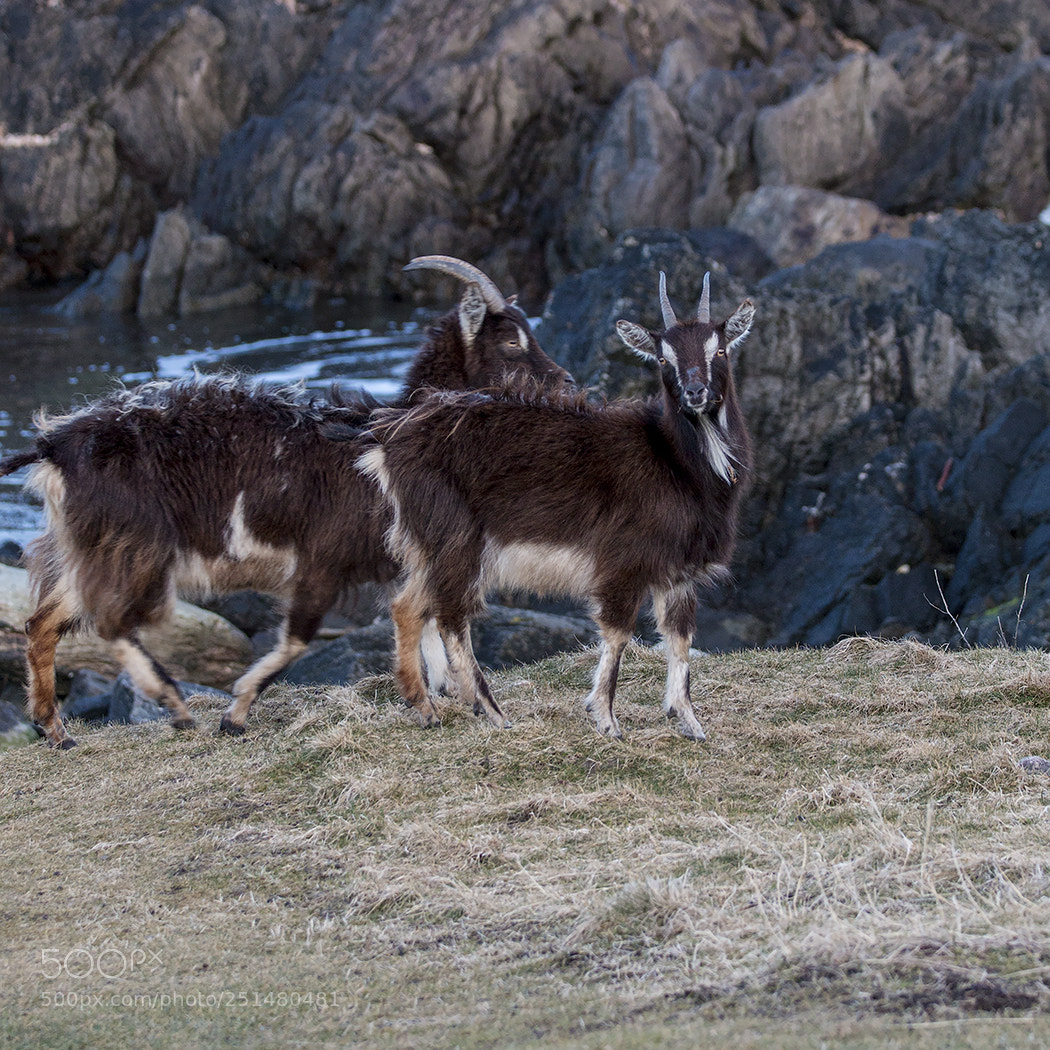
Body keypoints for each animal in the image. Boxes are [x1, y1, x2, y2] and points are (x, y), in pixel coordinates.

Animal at [0, 256, 571, 748]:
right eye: (511, 339)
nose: (565, 381)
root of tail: (53, 445)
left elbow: (420, 615)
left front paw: (440, 693)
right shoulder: (331, 553)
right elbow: (312, 634)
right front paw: (237, 713)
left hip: (96, 547)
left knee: (43, 623)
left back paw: (56, 730)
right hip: (133, 544)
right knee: (107, 620)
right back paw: (173, 706)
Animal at [359, 272, 754, 739]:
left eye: (721, 349)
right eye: (662, 358)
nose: (695, 392)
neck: (676, 462)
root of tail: (389, 443)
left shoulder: (679, 572)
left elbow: (680, 639)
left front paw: (689, 720)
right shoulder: (623, 562)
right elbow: (618, 633)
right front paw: (606, 719)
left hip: (429, 544)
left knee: (408, 607)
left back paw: (423, 706)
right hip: (457, 540)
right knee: (451, 615)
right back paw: (491, 711)